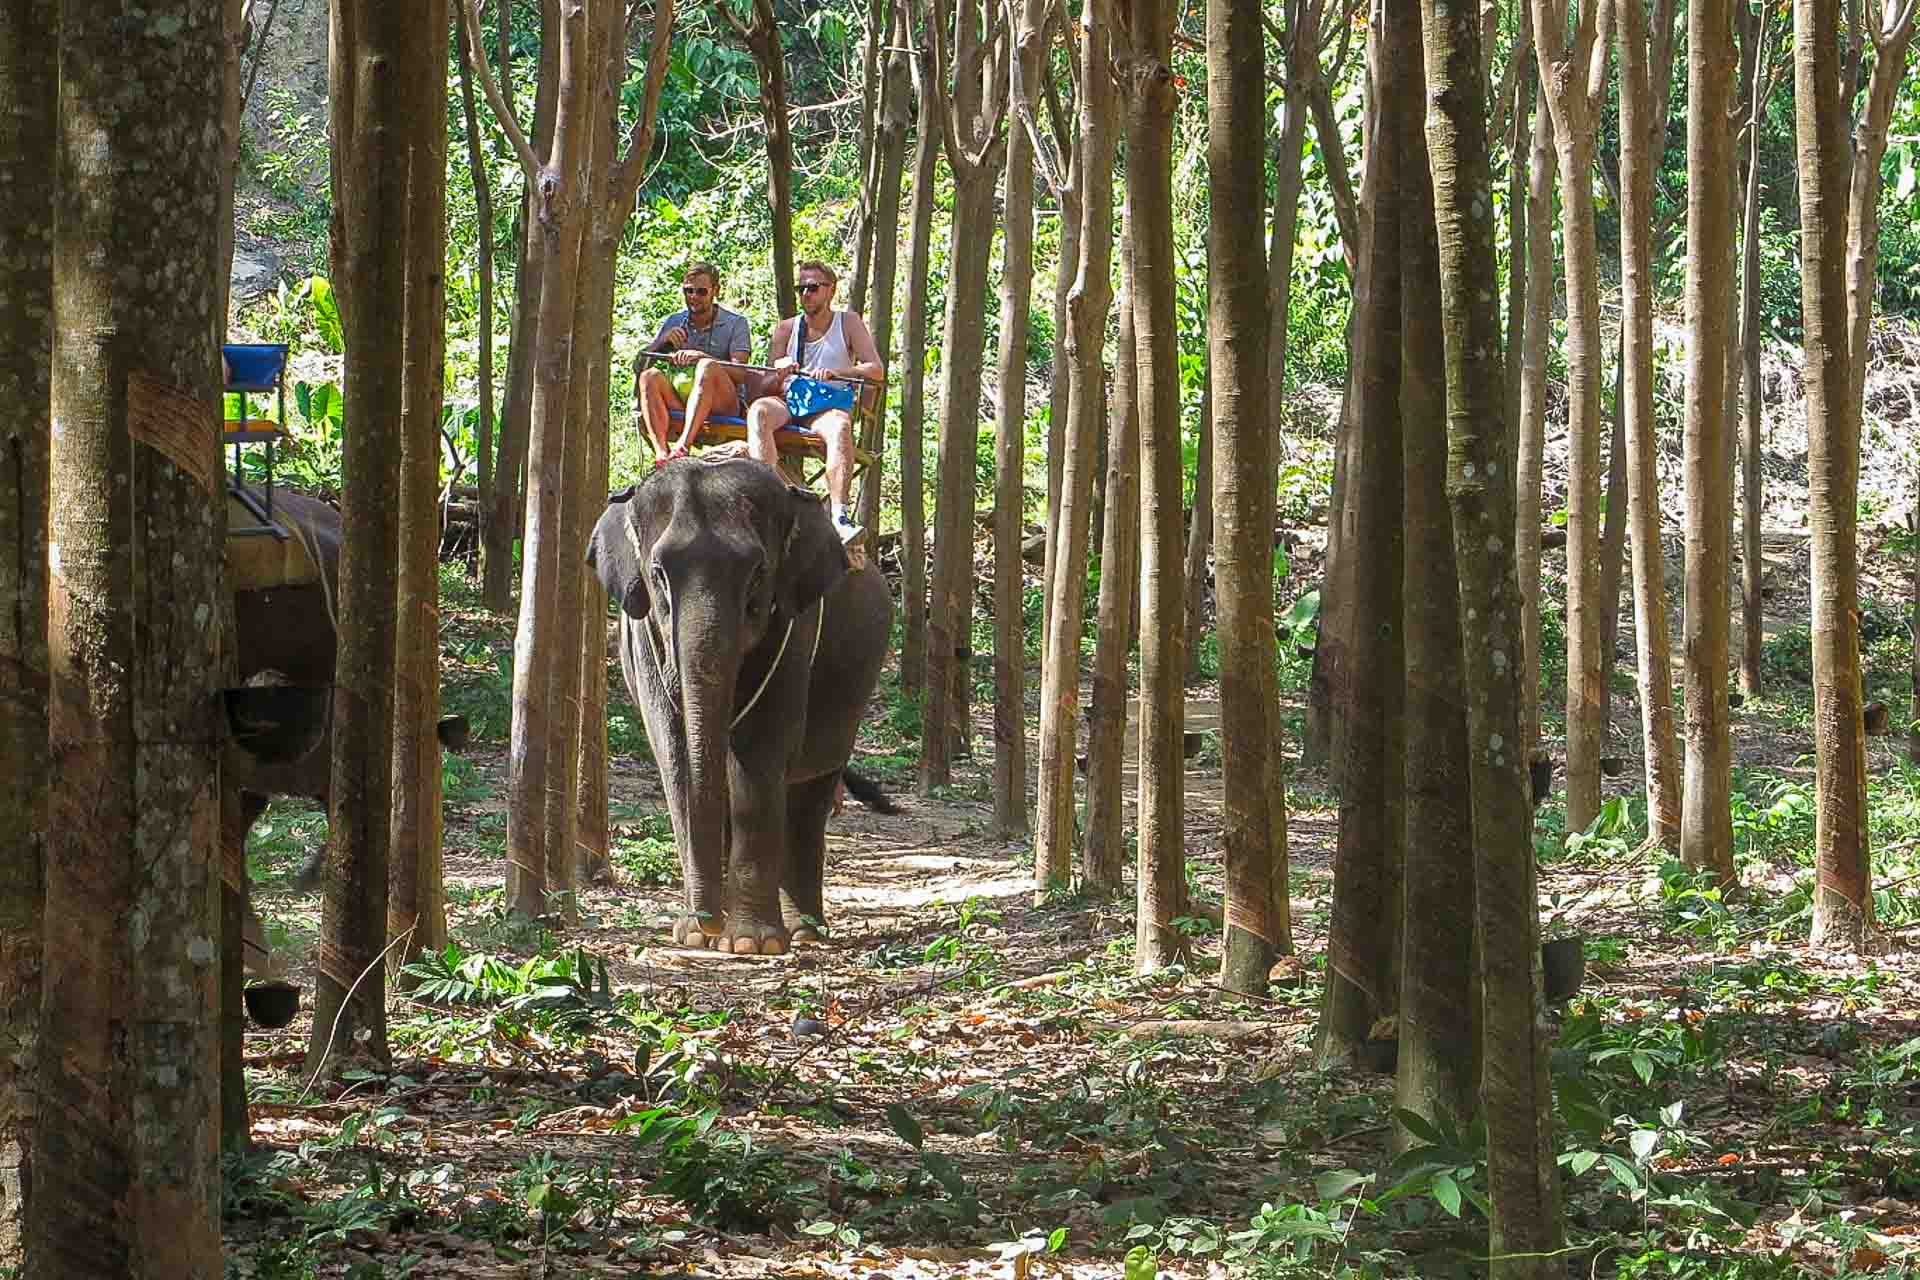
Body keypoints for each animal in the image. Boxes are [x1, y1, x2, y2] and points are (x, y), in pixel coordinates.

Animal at [587, 458, 894, 951]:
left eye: (758, 573)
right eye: (658, 574)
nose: (707, 922)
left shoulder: (793, 630)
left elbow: (757, 754)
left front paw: (751, 943)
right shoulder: (640, 640)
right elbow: (676, 756)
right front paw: (695, 936)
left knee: (807, 798)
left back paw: (804, 933)